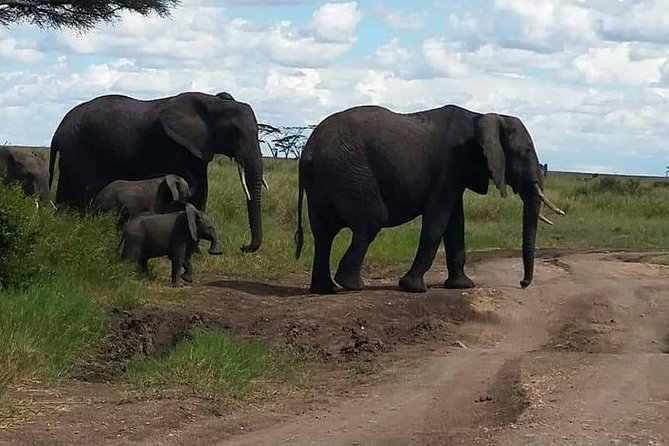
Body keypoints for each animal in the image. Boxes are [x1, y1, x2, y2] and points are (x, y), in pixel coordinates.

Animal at [49, 91, 266, 253]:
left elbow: (202, 191)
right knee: (88, 192)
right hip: (81, 151)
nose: (243, 246)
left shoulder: (198, 147)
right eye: (234, 132)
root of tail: (58, 130)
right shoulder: (172, 146)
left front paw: (195, 251)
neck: (213, 102)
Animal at [294, 104, 565, 294]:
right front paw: (413, 288)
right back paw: (351, 285)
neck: (482, 116)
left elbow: (455, 223)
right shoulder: (450, 165)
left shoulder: (457, 171)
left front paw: (462, 285)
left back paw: (325, 289)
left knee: (323, 234)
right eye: (526, 151)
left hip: (326, 180)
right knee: (369, 222)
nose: (522, 283)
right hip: (350, 171)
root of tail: (307, 152)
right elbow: (438, 219)